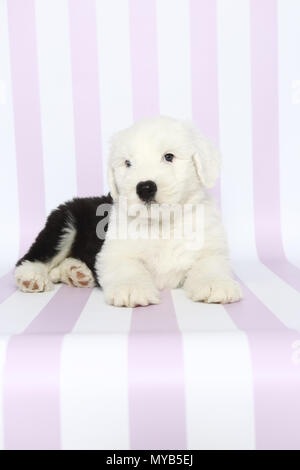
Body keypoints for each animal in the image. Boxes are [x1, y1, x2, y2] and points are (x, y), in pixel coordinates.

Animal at [15, 116, 243, 308]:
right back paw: (31, 277)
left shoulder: (210, 247)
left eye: (169, 156)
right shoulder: (114, 251)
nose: (145, 187)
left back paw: (75, 272)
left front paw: (216, 285)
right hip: (64, 224)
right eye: (128, 163)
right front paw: (132, 290)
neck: (162, 224)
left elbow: (210, 264)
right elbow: (128, 267)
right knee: (34, 257)